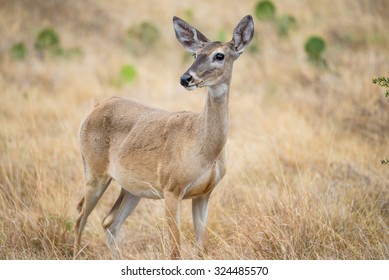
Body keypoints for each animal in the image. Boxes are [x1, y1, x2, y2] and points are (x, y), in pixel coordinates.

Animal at [73, 14, 255, 260]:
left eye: (219, 55)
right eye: (195, 54)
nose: (186, 78)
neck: (203, 148)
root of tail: (93, 109)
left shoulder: (204, 193)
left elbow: (201, 248)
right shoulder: (171, 188)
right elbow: (175, 250)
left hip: (131, 188)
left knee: (109, 222)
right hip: (94, 171)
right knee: (80, 216)